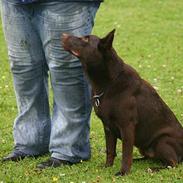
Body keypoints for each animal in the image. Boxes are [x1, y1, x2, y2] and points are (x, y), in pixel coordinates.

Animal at [61, 30, 183, 176]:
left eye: (85, 39)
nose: (62, 35)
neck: (108, 83)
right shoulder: (107, 127)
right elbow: (110, 150)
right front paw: (107, 166)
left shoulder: (127, 126)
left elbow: (126, 152)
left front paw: (123, 172)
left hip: (162, 141)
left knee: (172, 163)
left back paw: (152, 169)